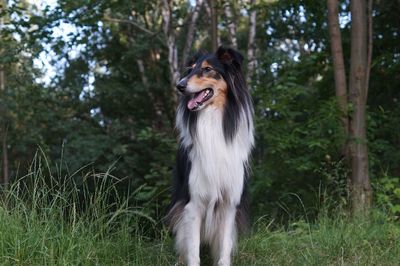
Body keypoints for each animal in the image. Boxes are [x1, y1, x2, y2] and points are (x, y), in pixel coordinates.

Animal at [167, 46, 255, 264]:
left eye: (207, 69)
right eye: (190, 69)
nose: (179, 86)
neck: (212, 118)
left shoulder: (229, 204)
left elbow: (223, 253)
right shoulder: (193, 205)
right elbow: (193, 254)